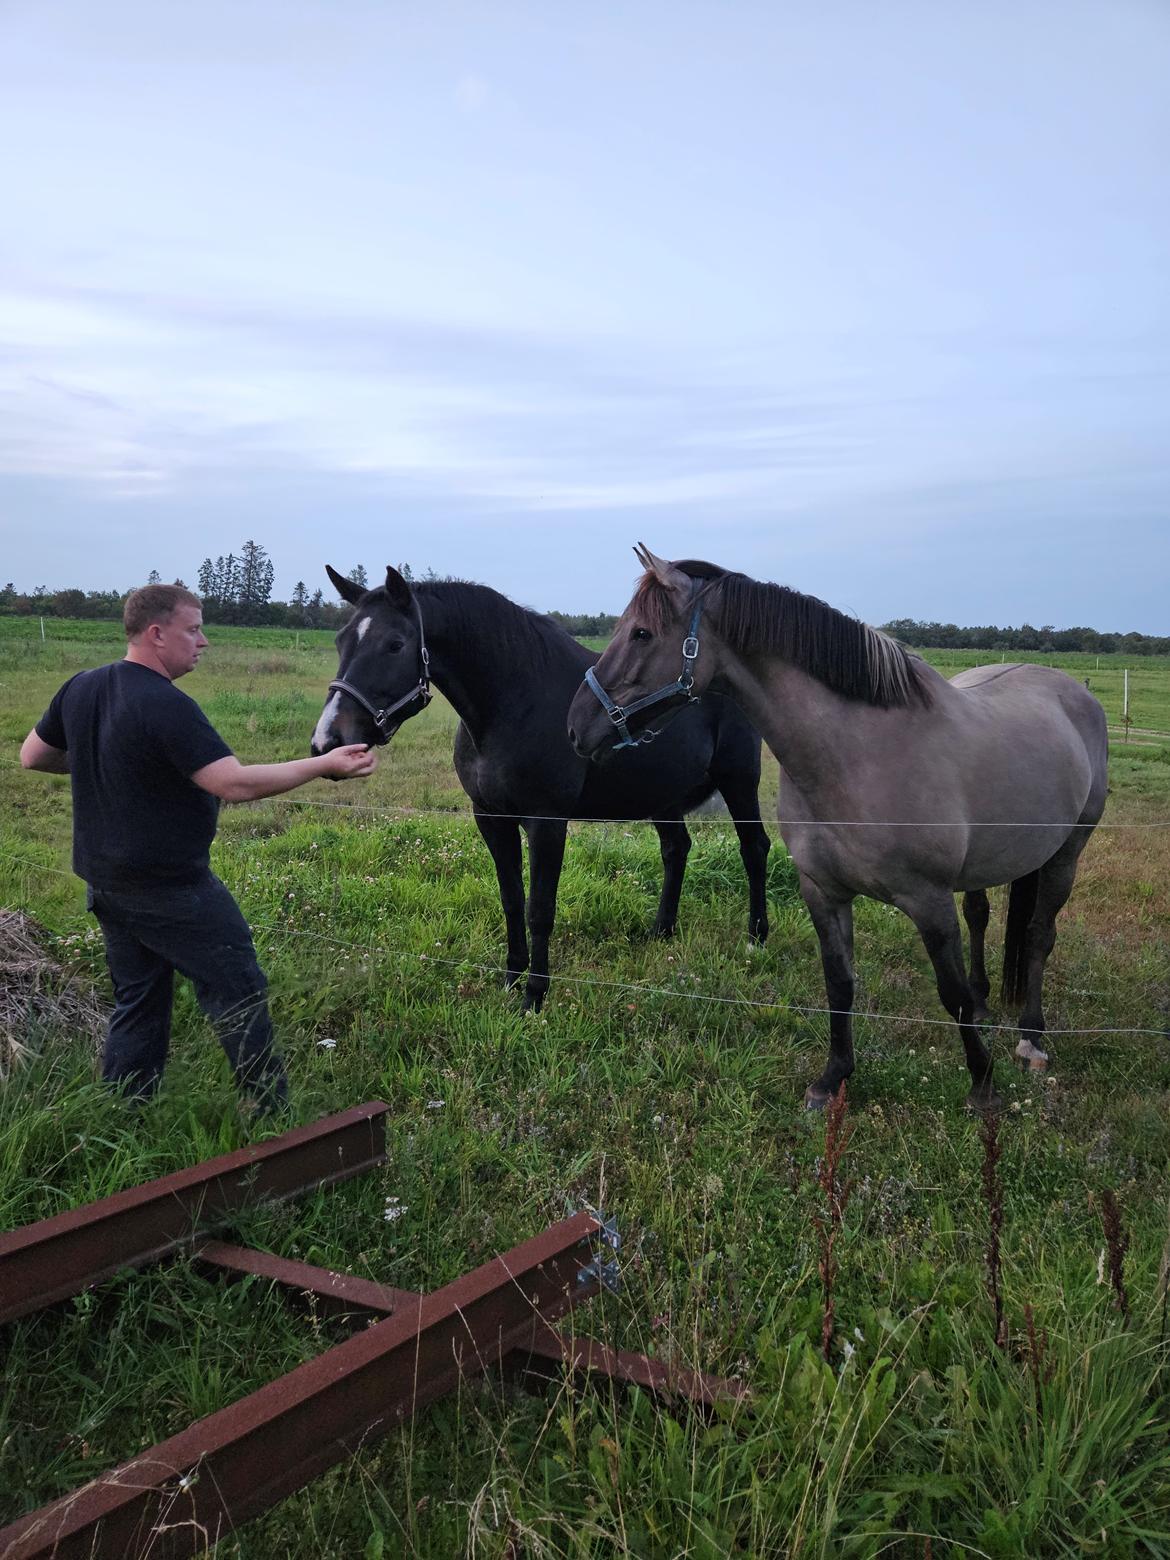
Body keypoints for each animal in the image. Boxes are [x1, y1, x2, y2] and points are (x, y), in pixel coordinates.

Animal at [312, 564, 773, 1010]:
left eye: (394, 644)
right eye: (340, 641)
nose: (327, 740)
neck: (513, 703)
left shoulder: (546, 822)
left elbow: (539, 908)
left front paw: (535, 994)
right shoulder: (491, 817)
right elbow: (512, 899)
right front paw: (511, 979)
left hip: (739, 780)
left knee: (754, 848)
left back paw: (756, 938)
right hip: (662, 796)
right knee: (676, 850)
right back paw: (662, 930)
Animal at [570, 549, 1110, 1110]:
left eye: (641, 634)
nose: (576, 724)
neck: (856, 755)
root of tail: (1069, 691)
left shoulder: (929, 900)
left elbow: (951, 992)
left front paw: (982, 1084)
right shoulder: (823, 892)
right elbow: (840, 982)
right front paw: (833, 1078)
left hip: (1066, 853)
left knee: (1039, 934)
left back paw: (1032, 1037)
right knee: (982, 916)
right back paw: (989, 1005)